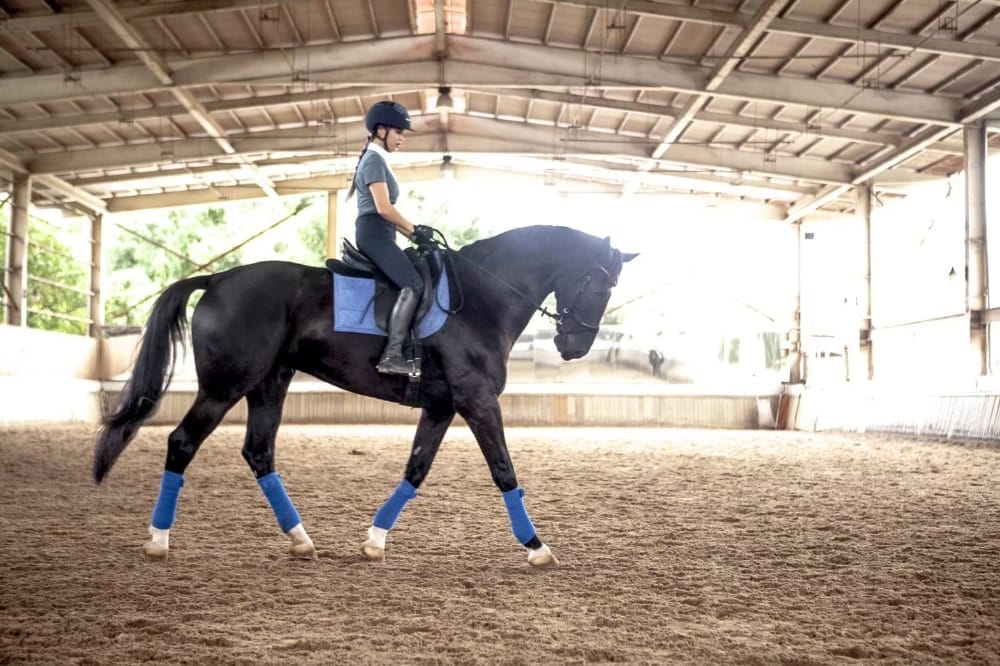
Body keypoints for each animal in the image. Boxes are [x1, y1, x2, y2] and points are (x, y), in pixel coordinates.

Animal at [93, 225, 636, 567]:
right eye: (599, 286)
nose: (574, 347)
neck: (483, 297)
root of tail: (220, 277)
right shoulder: (478, 401)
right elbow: (504, 471)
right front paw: (537, 548)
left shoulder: (442, 406)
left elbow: (415, 470)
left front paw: (374, 543)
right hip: (226, 386)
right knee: (183, 442)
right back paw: (158, 542)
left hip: (270, 382)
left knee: (259, 452)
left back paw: (301, 540)